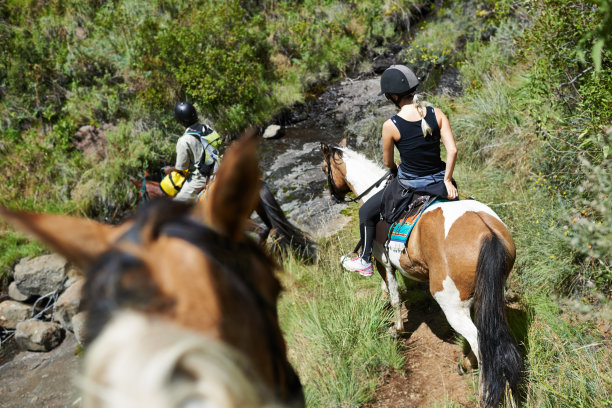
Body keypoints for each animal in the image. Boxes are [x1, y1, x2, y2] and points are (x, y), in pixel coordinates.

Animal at [320, 142, 520, 406]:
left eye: (325, 169)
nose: (333, 196)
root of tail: (488, 232)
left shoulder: (383, 262)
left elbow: (394, 297)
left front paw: (396, 330)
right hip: (487, 296)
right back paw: (471, 367)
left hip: (452, 305)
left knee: (479, 341)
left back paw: (482, 390)